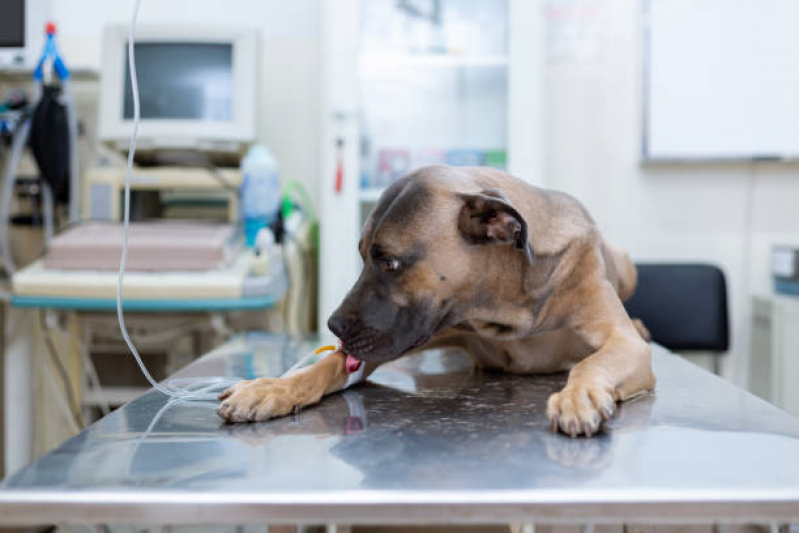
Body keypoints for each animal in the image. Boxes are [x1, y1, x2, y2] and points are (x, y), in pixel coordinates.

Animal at [217, 166, 656, 436]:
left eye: (391, 262)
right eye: (362, 254)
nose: (333, 326)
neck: (504, 302)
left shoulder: (624, 345)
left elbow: (591, 362)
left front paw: (579, 395)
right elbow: (329, 365)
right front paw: (272, 388)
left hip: (627, 265)